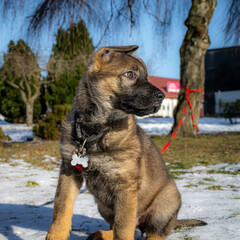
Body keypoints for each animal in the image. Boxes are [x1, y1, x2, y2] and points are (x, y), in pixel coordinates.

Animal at [46, 45, 205, 240]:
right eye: (130, 74)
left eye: (146, 77)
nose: (162, 96)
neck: (95, 131)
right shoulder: (69, 171)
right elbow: (61, 209)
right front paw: (55, 235)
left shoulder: (125, 185)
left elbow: (123, 228)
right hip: (103, 206)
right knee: (120, 226)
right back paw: (100, 234)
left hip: (166, 202)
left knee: (153, 232)